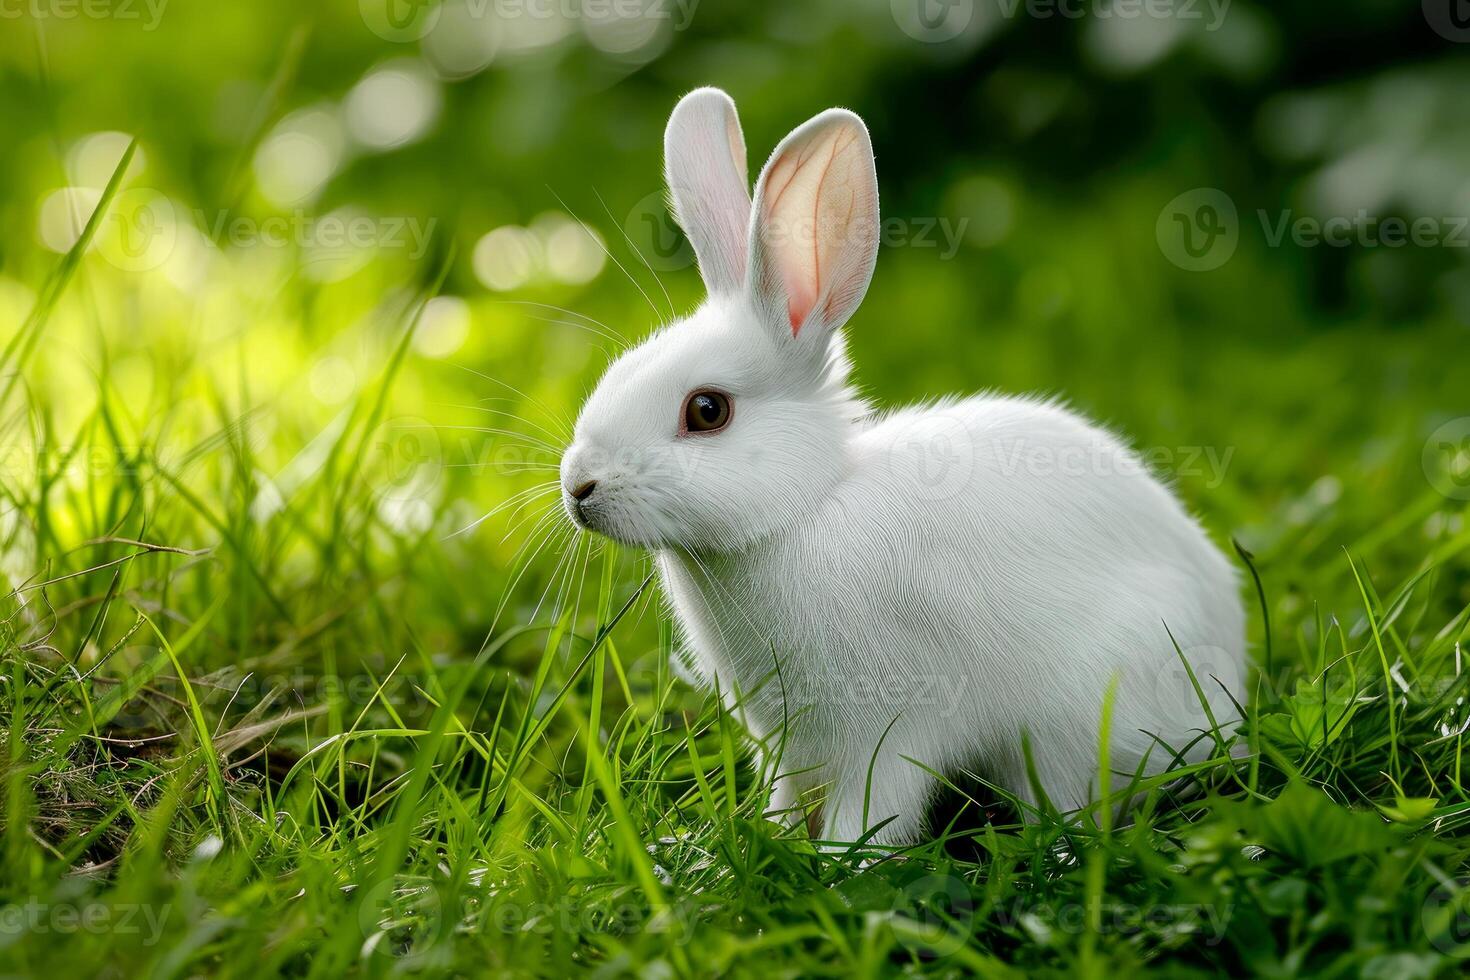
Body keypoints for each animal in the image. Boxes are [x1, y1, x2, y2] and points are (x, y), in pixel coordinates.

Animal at [558, 87, 1247, 845]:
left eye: (706, 411)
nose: (578, 487)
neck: (800, 511)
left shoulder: (888, 735)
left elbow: (873, 811)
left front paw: (839, 861)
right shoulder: (789, 746)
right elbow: (785, 795)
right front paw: (758, 840)